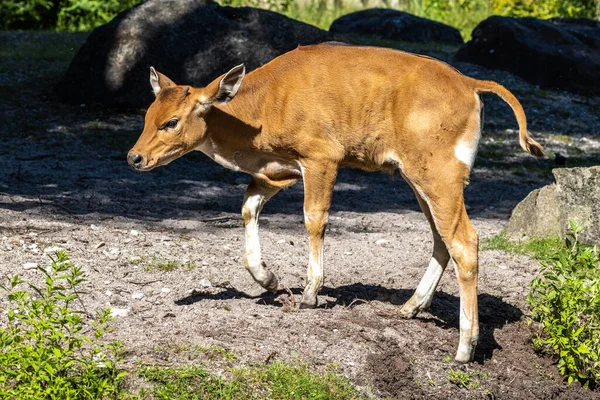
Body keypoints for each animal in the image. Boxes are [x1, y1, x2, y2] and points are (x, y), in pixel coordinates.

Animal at [127, 43, 544, 362]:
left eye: (172, 121)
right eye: (147, 115)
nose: (134, 157)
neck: (267, 104)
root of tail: (469, 83)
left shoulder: (321, 159)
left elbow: (314, 219)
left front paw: (311, 293)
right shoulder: (280, 170)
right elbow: (248, 206)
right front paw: (267, 278)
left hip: (440, 175)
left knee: (465, 241)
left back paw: (464, 348)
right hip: (417, 176)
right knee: (442, 239)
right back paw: (411, 307)